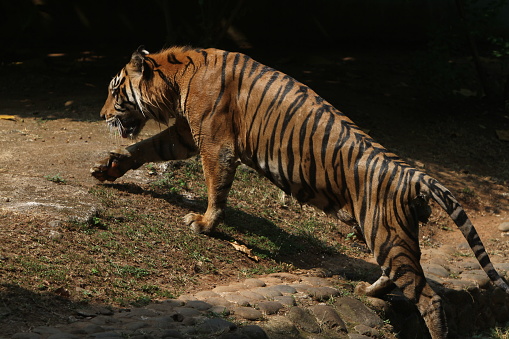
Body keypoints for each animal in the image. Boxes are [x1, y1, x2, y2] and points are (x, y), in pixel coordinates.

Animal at [91, 45, 508, 339]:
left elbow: (215, 186)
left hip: (385, 233)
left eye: (115, 90)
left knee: (428, 297)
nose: (100, 115)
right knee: (404, 276)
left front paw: (205, 223)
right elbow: (146, 147)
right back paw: (370, 290)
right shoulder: (184, 134)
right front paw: (106, 167)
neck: (176, 78)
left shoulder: (214, 143)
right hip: (387, 234)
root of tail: (414, 175)